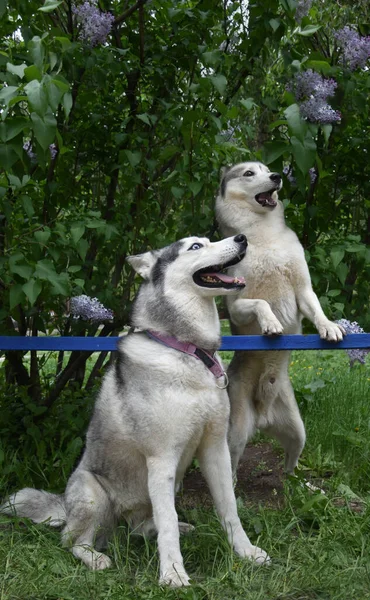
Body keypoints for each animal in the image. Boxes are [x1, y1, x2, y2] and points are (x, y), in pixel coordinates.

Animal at [1, 233, 270, 584]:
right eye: (196, 247)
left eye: (210, 239)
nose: (241, 238)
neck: (187, 349)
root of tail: (65, 506)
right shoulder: (162, 458)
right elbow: (168, 525)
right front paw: (172, 575)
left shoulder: (215, 449)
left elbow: (229, 509)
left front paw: (246, 552)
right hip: (93, 493)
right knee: (72, 541)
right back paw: (95, 557)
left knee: (143, 527)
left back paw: (168, 528)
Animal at [215, 161, 346, 478]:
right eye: (249, 173)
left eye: (267, 169)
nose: (277, 176)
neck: (263, 235)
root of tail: (263, 417)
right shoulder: (235, 305)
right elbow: (261, 303)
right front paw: (271, 323)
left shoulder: (303, 288)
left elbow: (316, 309)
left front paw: (329, 328)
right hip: (237, 432)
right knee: (232, 465)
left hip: (298, 430)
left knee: (291, 462)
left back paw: (297, 481)